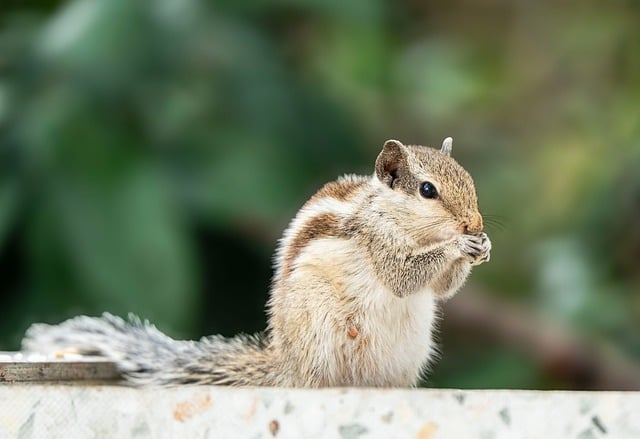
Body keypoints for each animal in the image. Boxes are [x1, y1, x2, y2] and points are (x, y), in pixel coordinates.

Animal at [22, 138, 491, 387]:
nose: (475, 222)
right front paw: (458, 246)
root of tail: (285, 365)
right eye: (428, 190)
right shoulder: (376, 239)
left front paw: (480, 247)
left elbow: (440, 288)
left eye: (469, 180)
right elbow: (401, 276)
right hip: (318, 327)